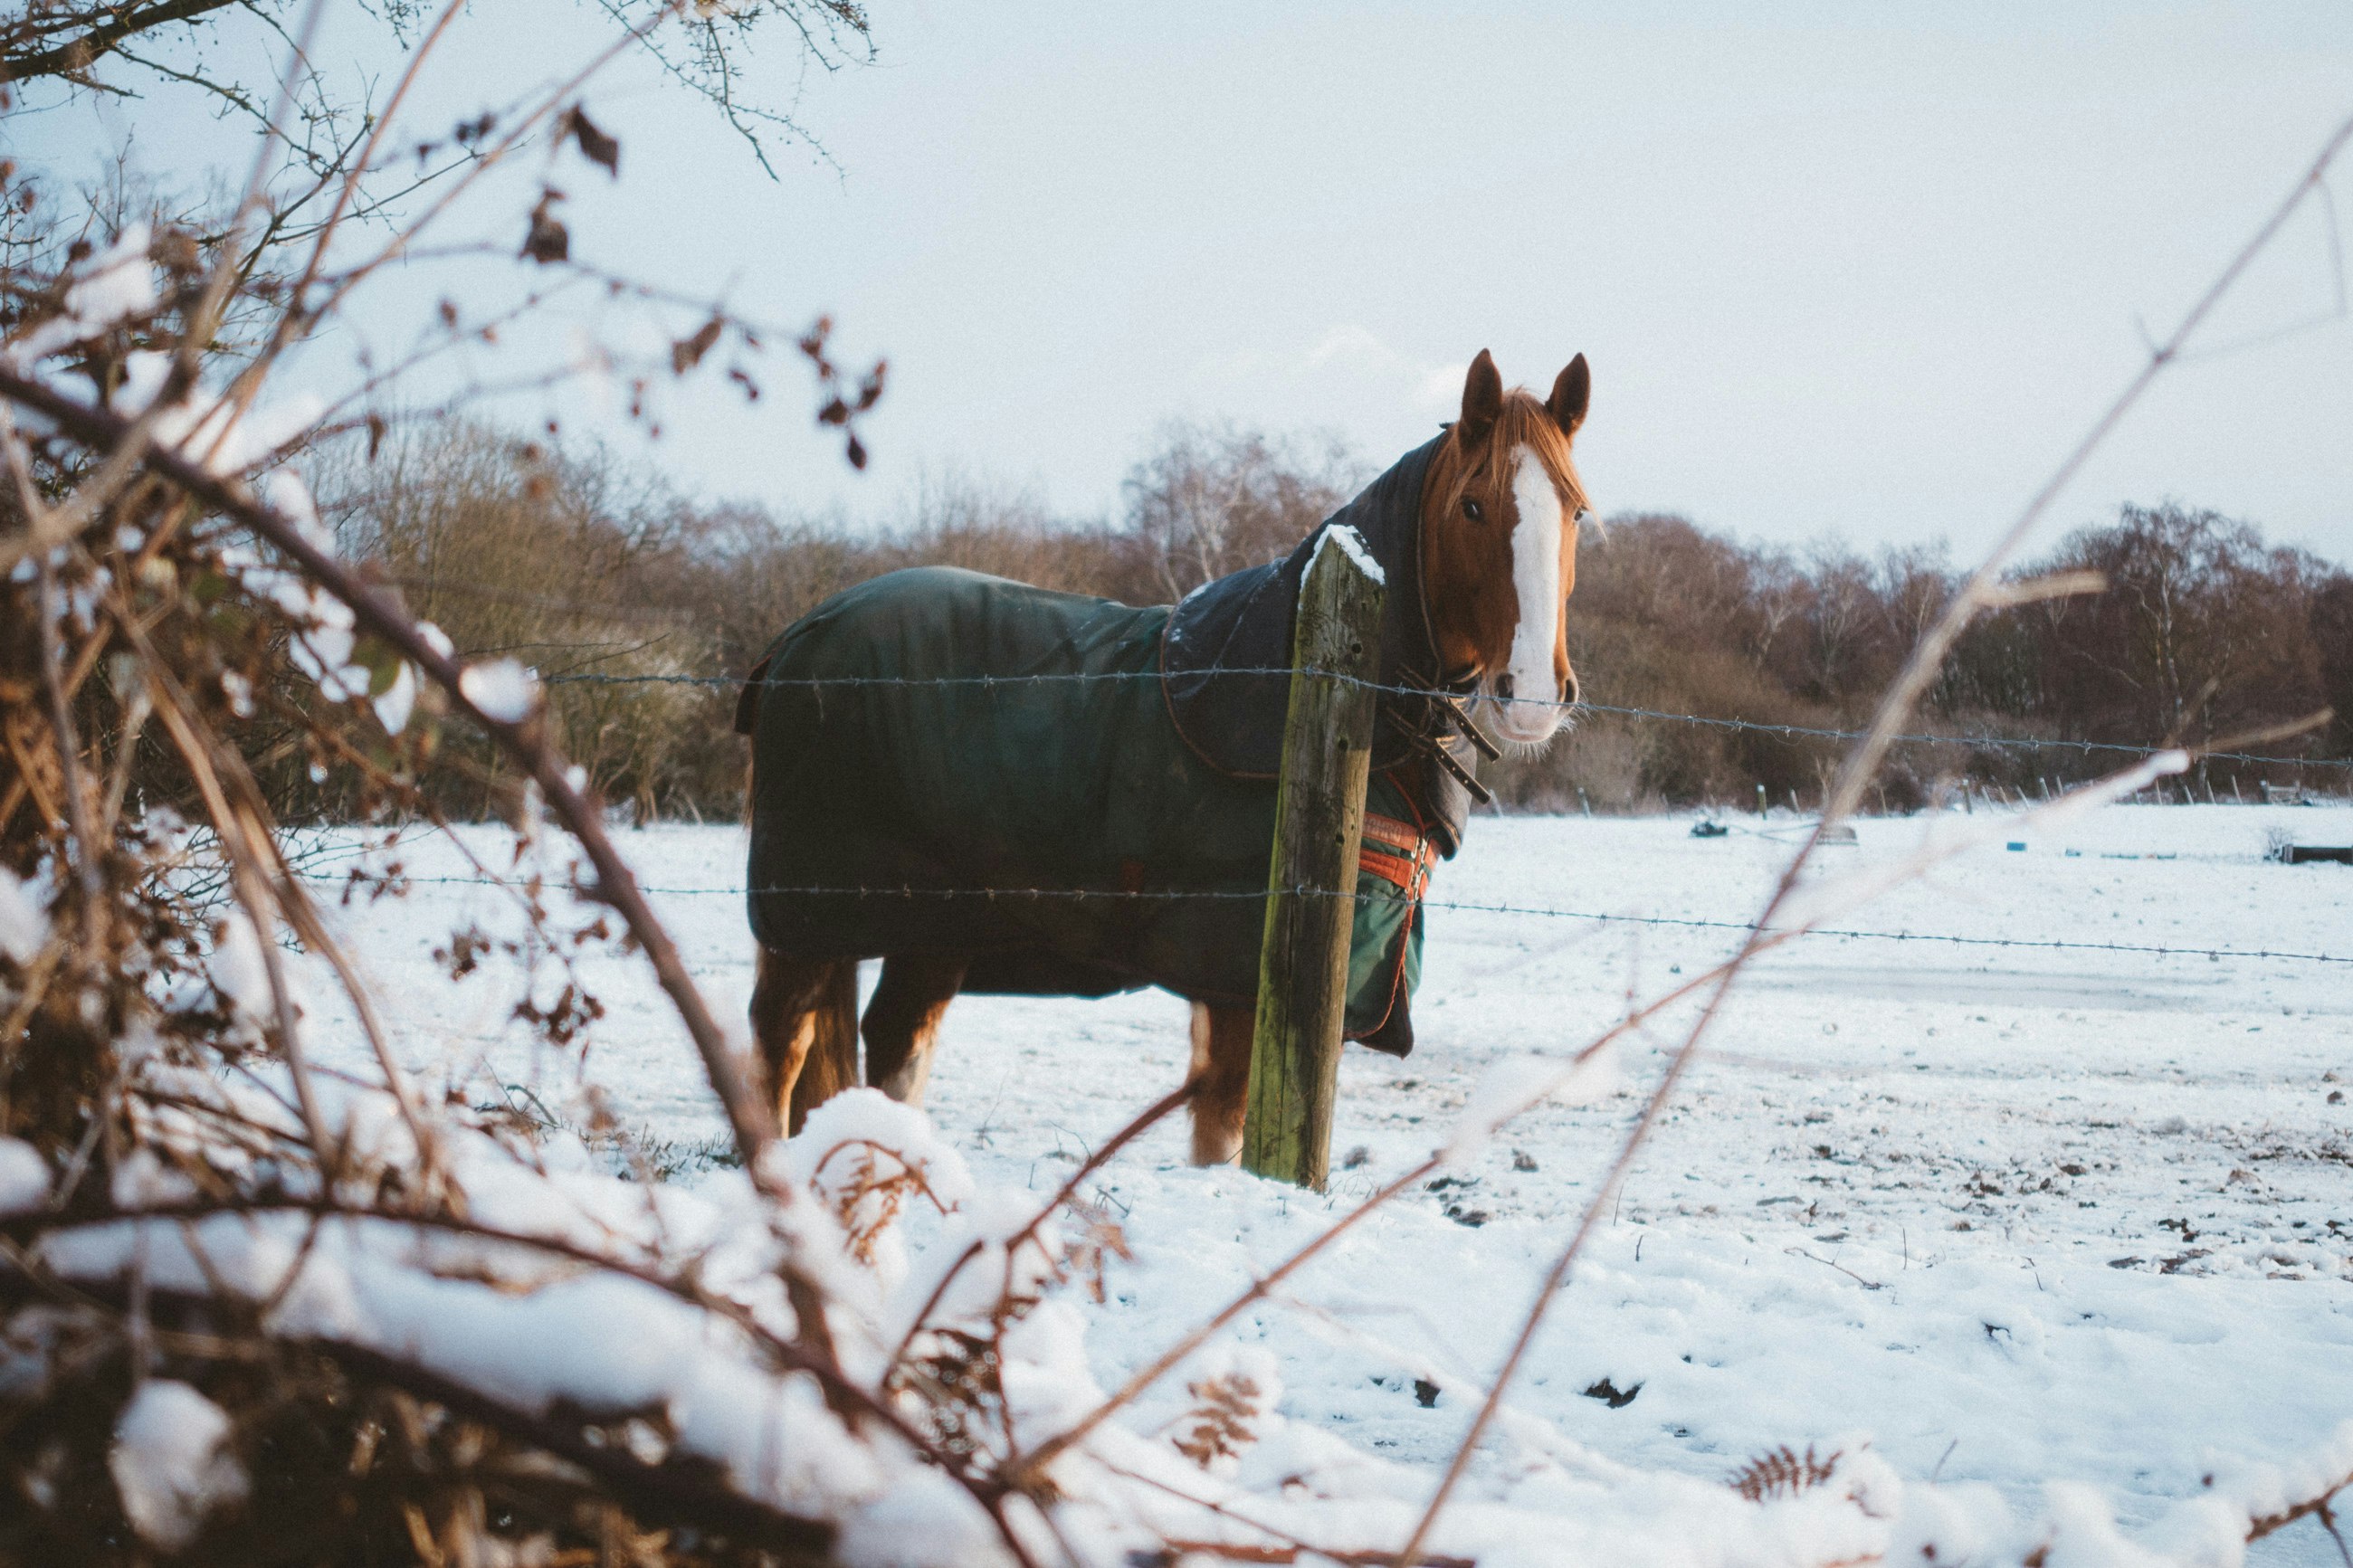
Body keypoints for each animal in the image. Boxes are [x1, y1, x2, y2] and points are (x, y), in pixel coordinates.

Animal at [753, 355, 1599, 1165]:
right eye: (1473, 506)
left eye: (1578, 512)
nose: (1532, 693)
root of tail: (798, 636)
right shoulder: (1234, 985)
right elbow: (1222, 1139)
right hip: (807, 920)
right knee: (779, 1044)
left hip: (930, 928)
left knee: (897, 1043)